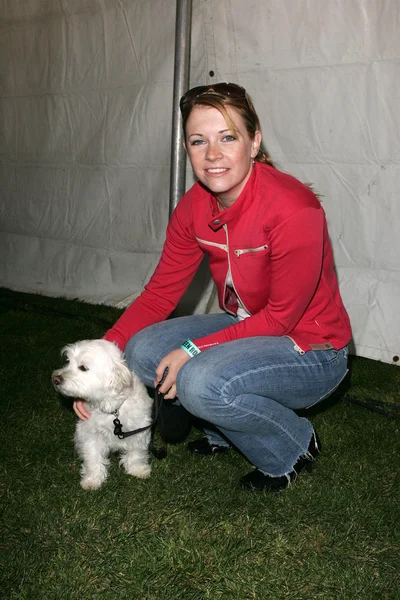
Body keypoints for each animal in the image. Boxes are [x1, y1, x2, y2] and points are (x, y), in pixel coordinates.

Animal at [52, 340, 152, 490]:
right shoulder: (90, 435)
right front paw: (92, 480)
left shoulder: (139, 431)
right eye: (68, 362)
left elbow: (137, 454)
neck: (112, 410)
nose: (55, 379)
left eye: (83, 368)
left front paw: (138, 470)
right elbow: (93, 458)